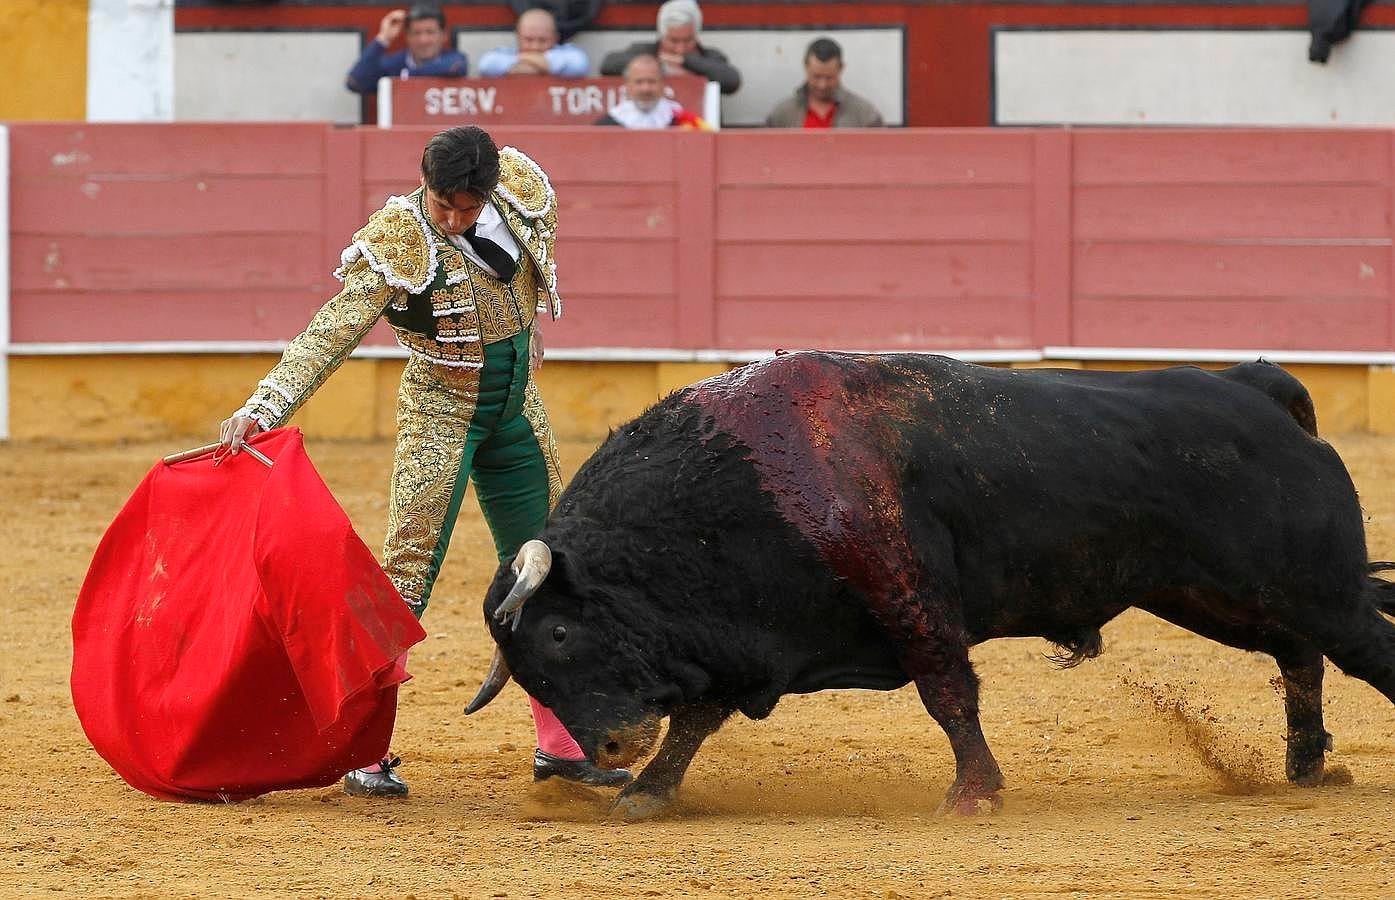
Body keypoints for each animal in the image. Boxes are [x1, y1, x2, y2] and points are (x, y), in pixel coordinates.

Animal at [465, 353, 1395, 820]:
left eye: (557, 634)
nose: (606, 749)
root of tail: (1259, 390)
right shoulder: (744, 641)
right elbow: (696, 719)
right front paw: (649, 792)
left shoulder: (909, 597)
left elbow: (947, 692)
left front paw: (973, 793)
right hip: (1218, 596)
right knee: (1298, 656)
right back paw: (1304, 766)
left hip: (1309, 585)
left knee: (1364, 648)